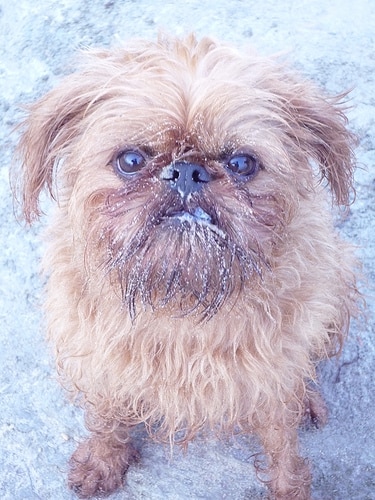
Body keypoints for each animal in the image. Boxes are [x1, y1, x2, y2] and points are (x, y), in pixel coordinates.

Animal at [13, 33, 362, 498]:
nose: (187, 172)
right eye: (131, 161)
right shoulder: (100, 356)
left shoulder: (272, 375)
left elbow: (281, 441)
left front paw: (289, 488)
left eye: (241, 163)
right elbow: (107, 414)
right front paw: (103, 461)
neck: (180, 295)